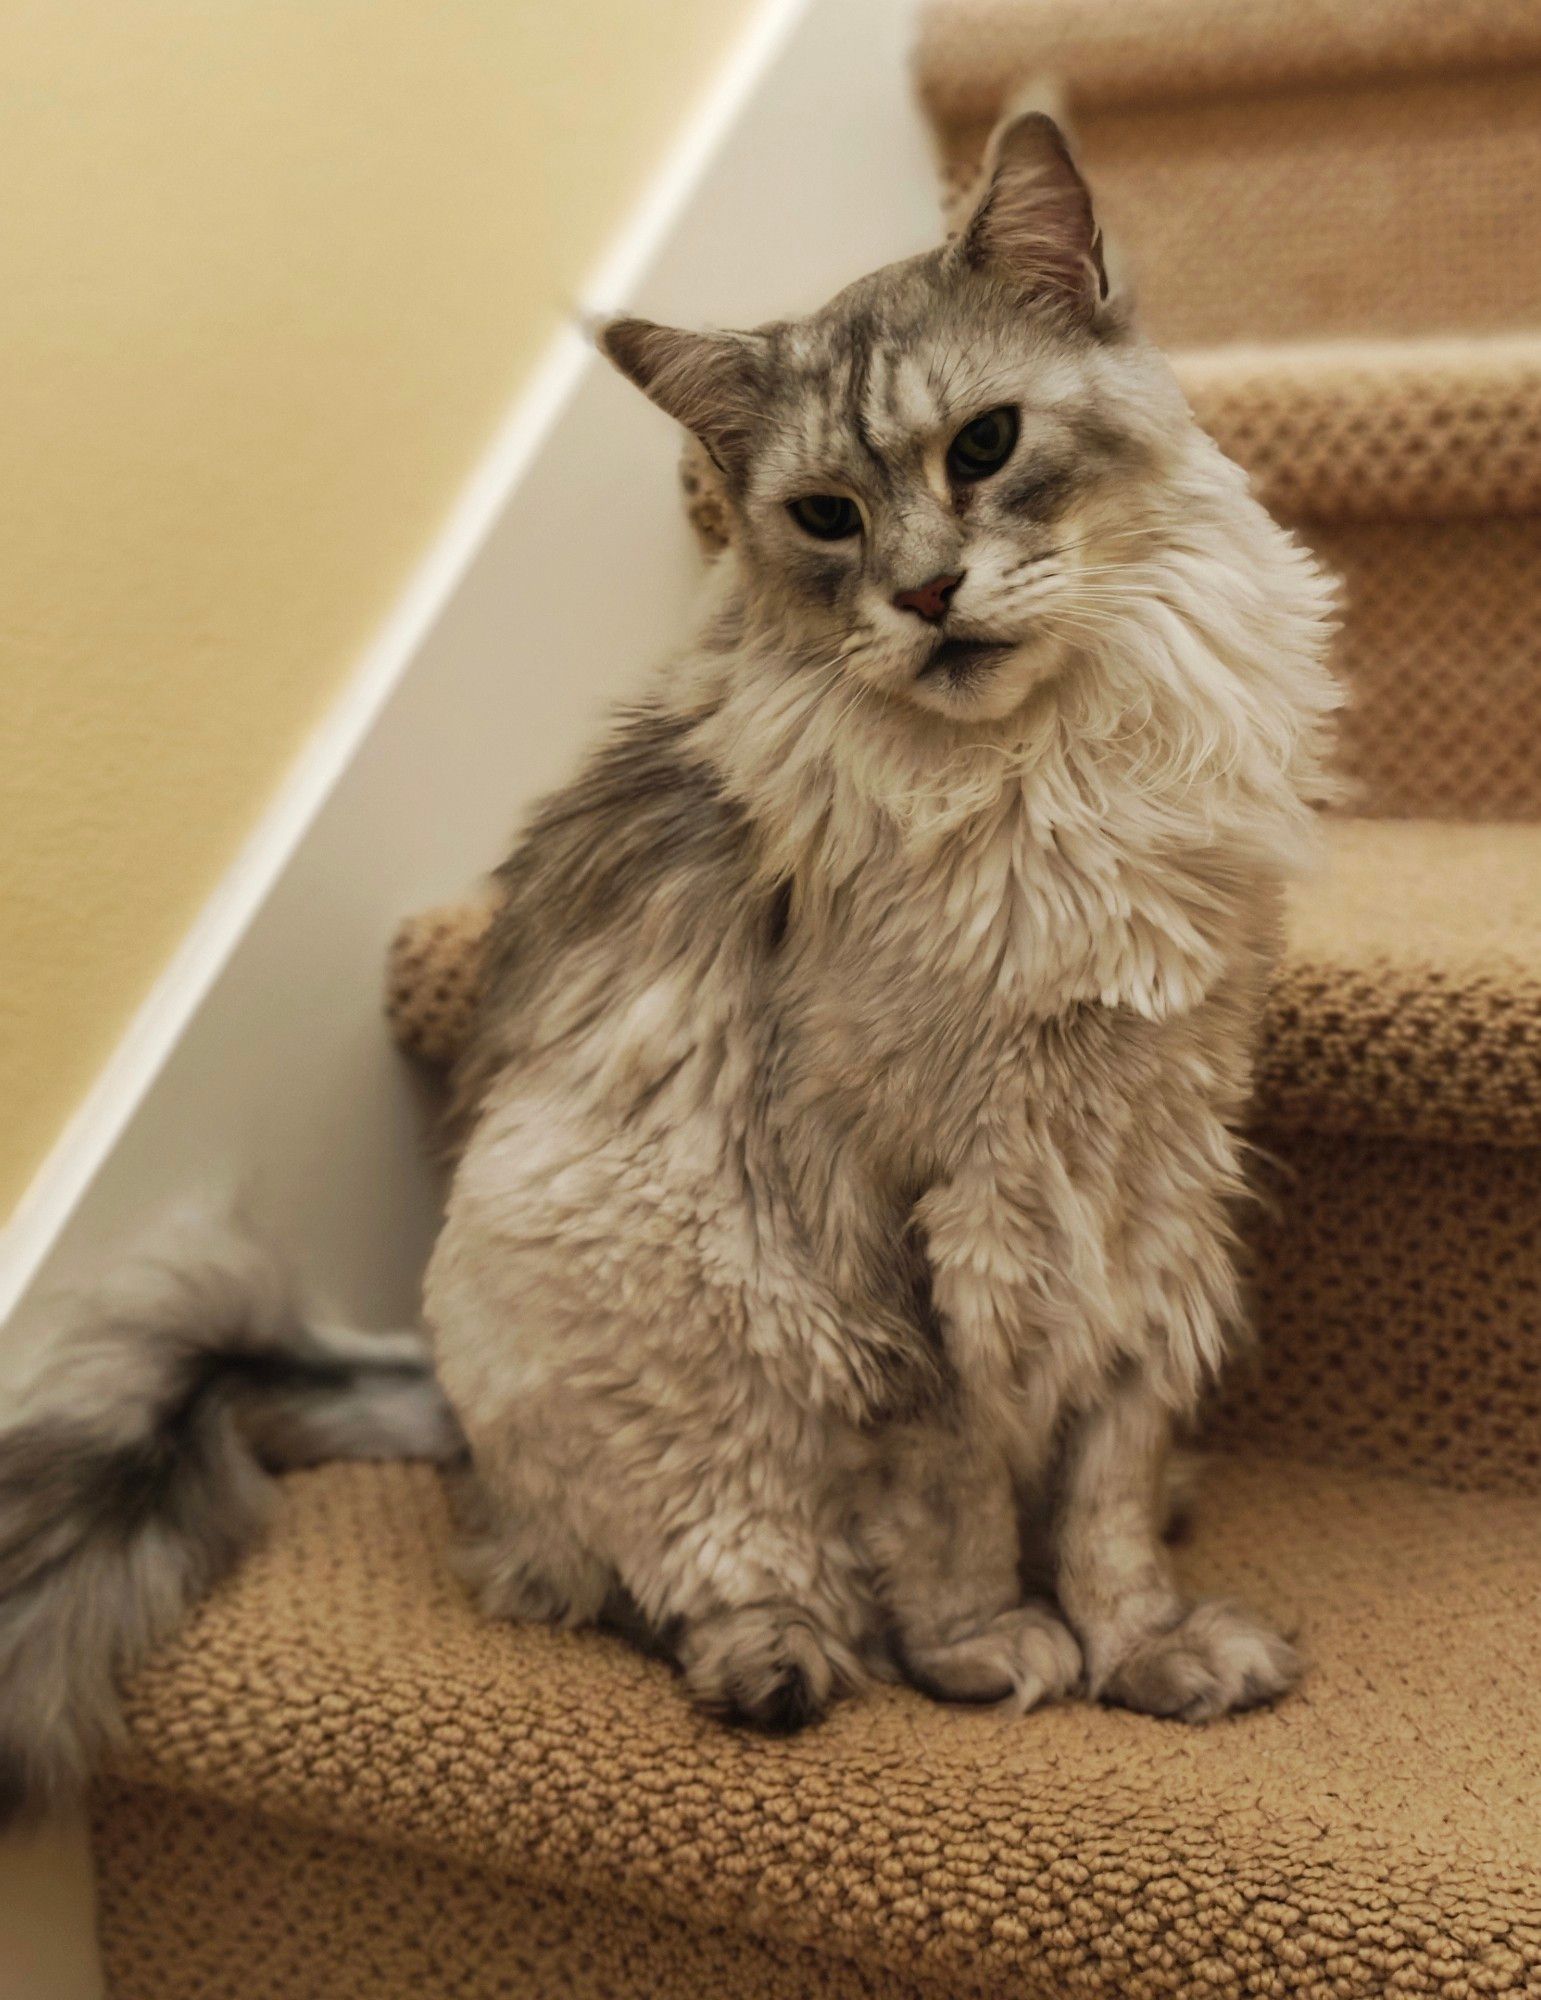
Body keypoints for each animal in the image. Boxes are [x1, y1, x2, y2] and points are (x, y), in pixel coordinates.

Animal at [0, 109, 1328, 1824]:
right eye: (825, 519)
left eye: (984, 448)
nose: (925, 594)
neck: (1047, 779)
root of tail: (443, 1397)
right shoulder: (895, 1193)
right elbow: (955, 1477)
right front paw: (987, 1648)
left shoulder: (1146, 1170)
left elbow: (1101, 1470)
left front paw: (1143, 1645)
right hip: (625, 1311)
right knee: (661, 1575)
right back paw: (782, 1668)